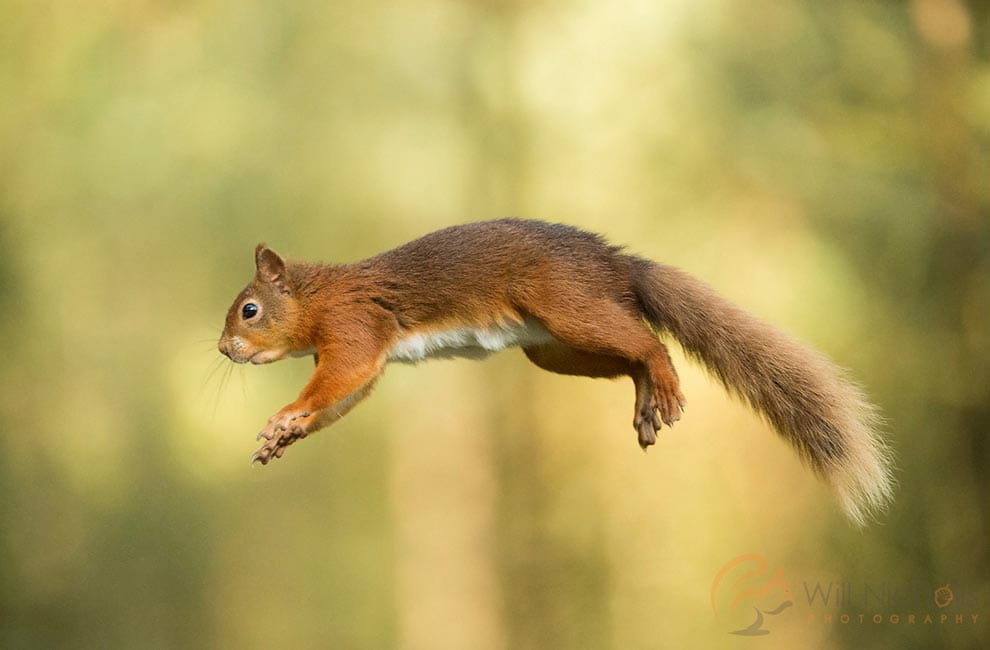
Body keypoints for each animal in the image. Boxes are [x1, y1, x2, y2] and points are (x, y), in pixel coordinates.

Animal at [218, 218, 893, 524]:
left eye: (249, 310)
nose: (224, 350)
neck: (319, 296)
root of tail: (620, 266)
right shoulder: (360, 354)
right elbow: (342, 397)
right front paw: (284, 436)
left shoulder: (356, 327)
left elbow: (340, 378)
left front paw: (285, 415)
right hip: (554, 348)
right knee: (629, 357)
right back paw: (646, 401)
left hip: (567, 305)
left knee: (649, 341)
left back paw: (665, 383)